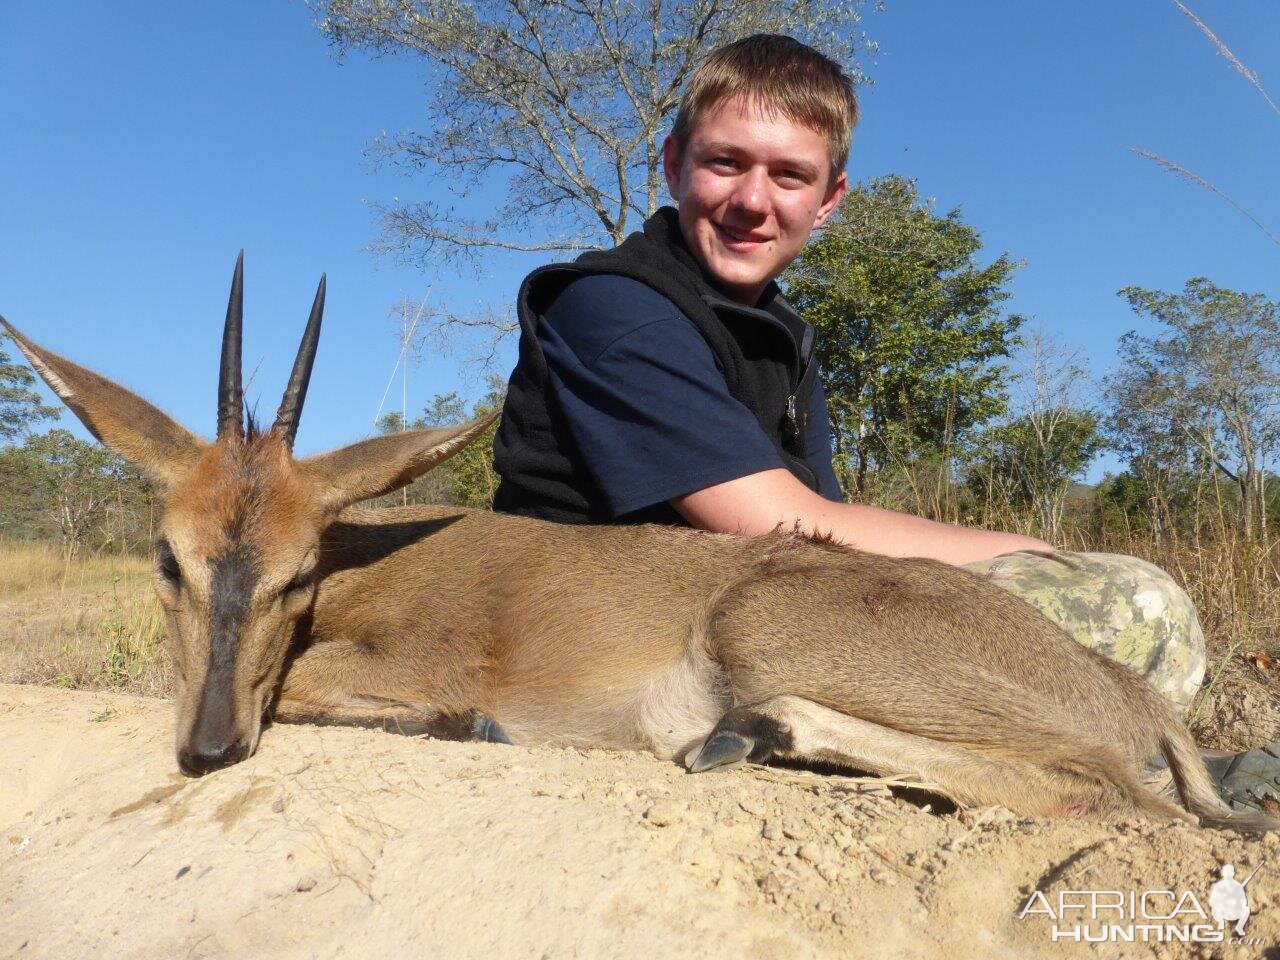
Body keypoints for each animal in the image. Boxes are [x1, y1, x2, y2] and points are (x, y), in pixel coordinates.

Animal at [5, 257, 1274, 834]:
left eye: (297, 569)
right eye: (167, 558)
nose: (208, 746)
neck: (377, 559)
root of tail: (1123, 689)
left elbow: (336, 689)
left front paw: (460, 724)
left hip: (763, 625)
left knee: (1106, 794)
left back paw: (753, 735)